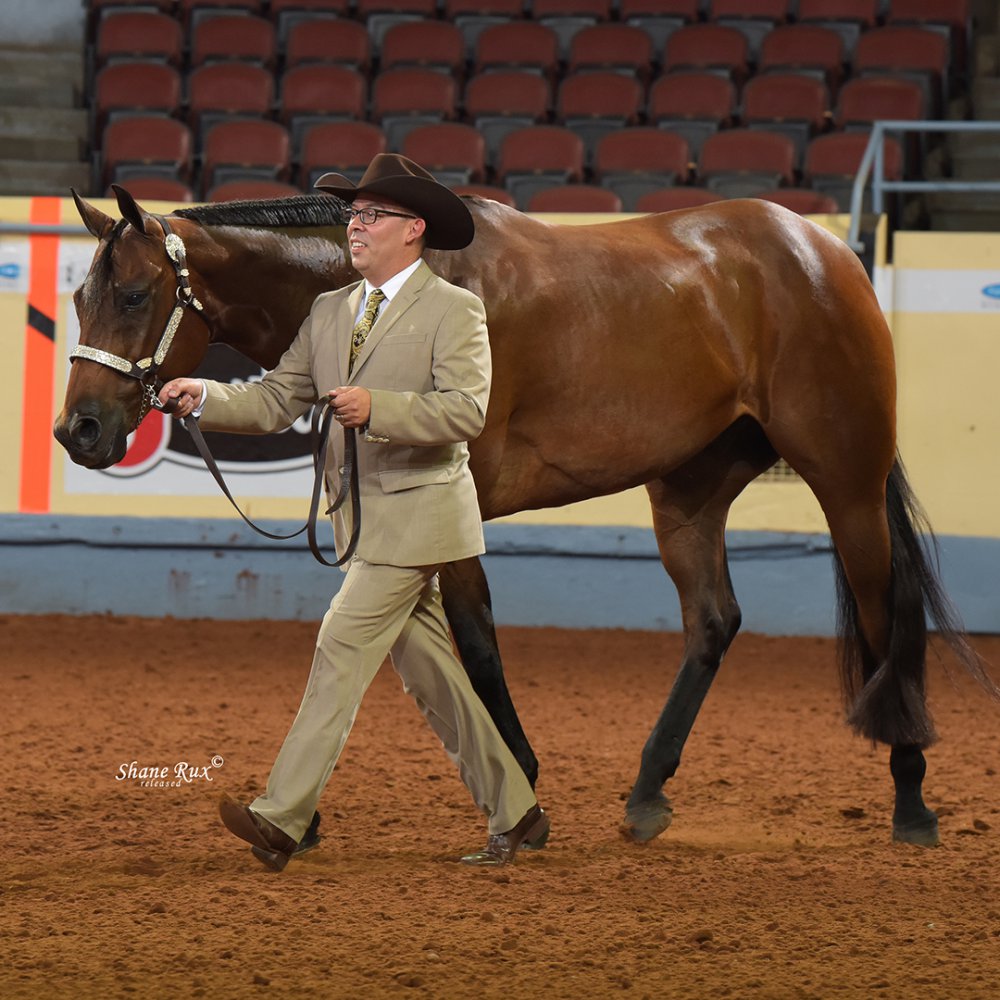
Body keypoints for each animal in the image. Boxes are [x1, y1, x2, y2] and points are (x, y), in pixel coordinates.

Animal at [58, 186, 996, 844]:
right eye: (78, 297)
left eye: (135, 294)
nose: (80, 430)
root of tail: (824, 250)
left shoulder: (457, 505)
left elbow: (475, 647)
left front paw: (524, 789)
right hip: (689, 489)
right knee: (715, 621)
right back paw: (647, 794)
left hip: (845, 476)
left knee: (885, 611)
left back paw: (911, 800)